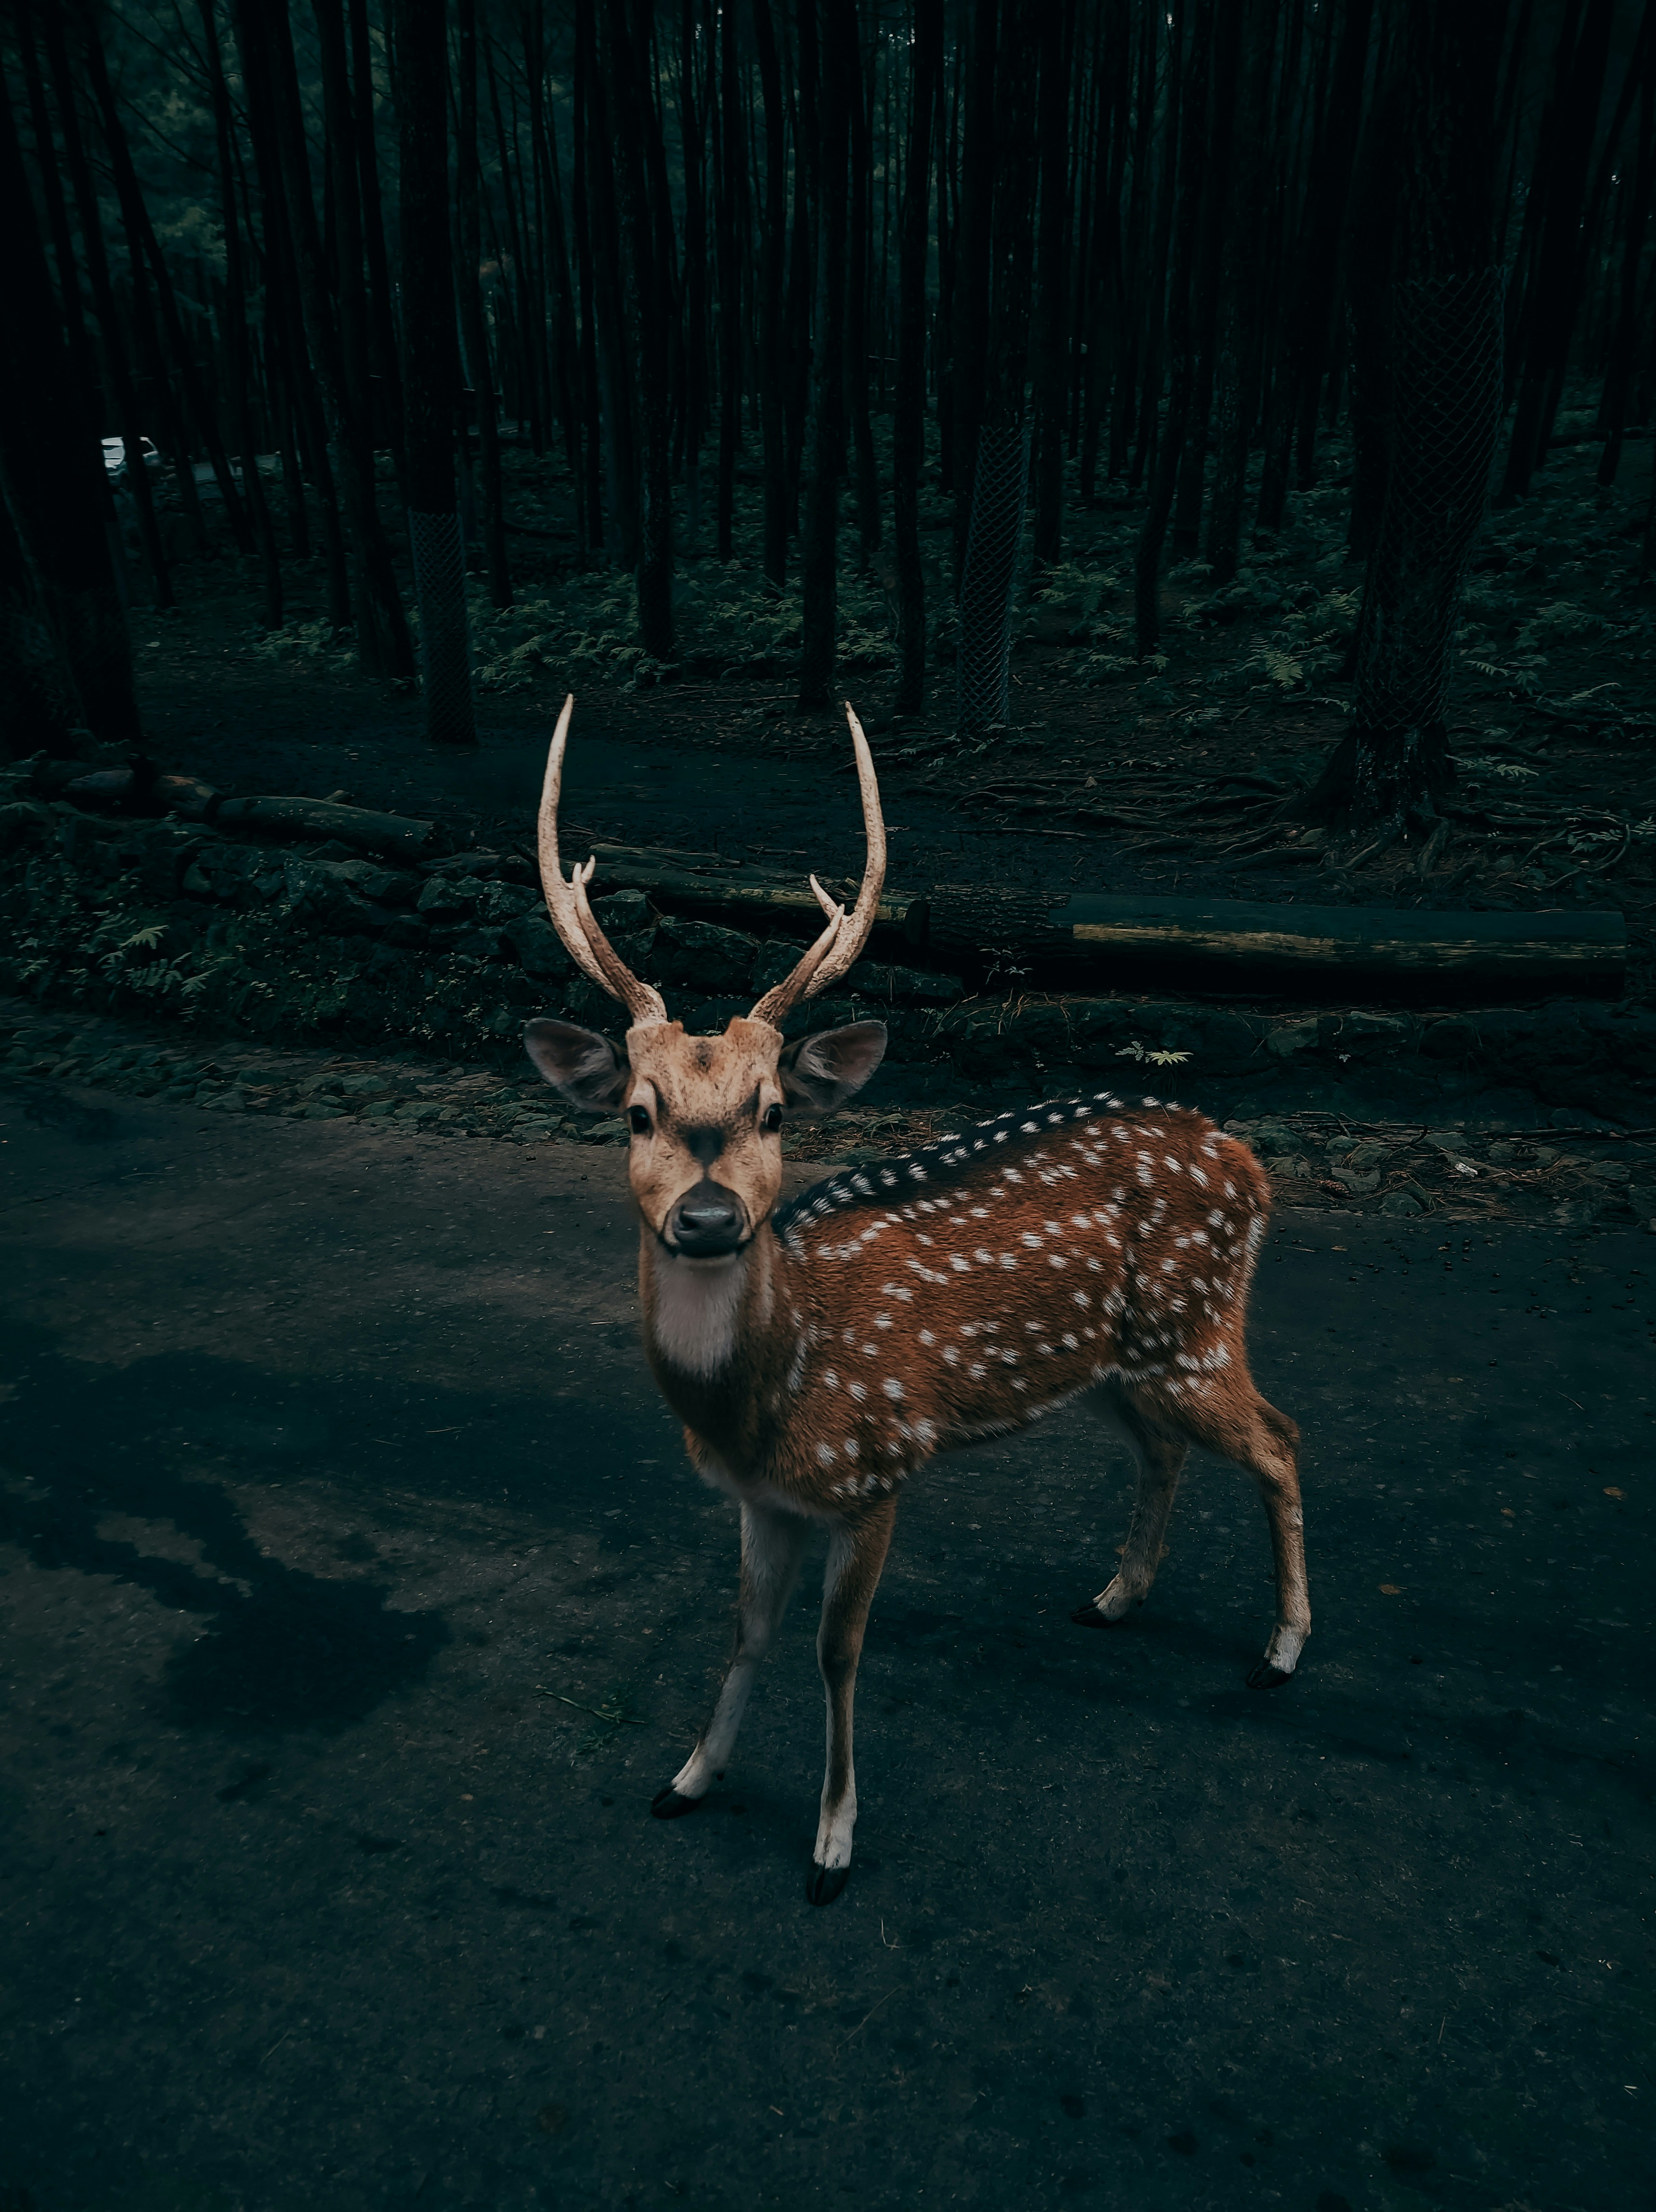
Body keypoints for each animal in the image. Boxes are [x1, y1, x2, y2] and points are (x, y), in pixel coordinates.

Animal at [523, 693, 1310, 1905]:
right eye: (638, 1112)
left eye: (773, 1111)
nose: (706, 1218)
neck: (767, 1399)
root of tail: (1246, 1159)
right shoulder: (761, 1499)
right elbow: (746, 1632)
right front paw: (689, 1776)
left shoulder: (876, 1470)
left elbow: (834, 1651)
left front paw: (832, 1843)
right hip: (1116, 1360)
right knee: (1166, 1447)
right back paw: (1115, 1594)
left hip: (1196, 1326)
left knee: (1279, 1435)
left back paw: (1280, 1649)